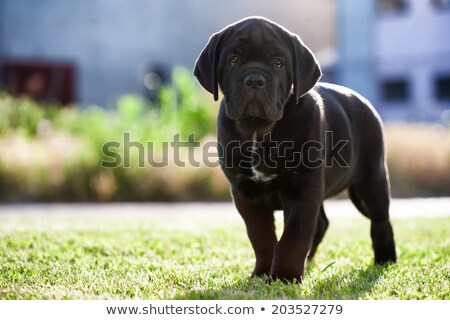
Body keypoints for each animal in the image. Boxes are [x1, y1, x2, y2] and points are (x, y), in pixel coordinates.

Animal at [194, 16, 398, 282]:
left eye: (278, 62)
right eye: (233, 60)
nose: (255, 80)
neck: (259, 130)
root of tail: (365, 102)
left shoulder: (303, 188)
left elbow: (294, 236)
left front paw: (285, 276)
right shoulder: (245, 192)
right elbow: (261, 236)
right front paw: (263, 272)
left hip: (371, 178)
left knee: (381, 220)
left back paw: (385, 260)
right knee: (322, 222)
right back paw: (309, 259)